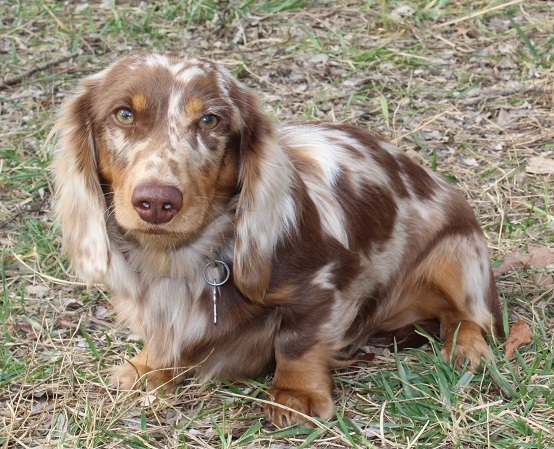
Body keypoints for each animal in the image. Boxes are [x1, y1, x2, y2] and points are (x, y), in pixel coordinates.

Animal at [51, 51, 500, 424]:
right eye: (124, 114)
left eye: (210, 120)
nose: (157, 202)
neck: (180, 257)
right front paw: (147, 367)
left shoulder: (324, 285)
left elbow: (297, 342)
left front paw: (296, 395)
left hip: (459, 255)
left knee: (469, 317)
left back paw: (465, 350)